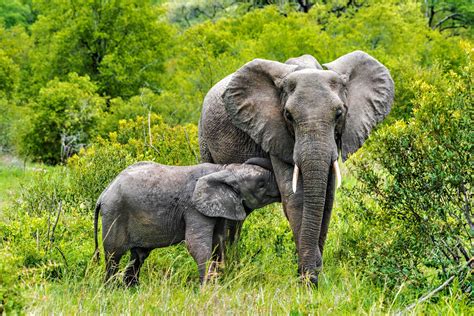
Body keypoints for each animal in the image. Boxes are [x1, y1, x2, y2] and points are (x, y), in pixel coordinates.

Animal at [93, 159, 280, 286]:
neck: (223, 170)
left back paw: (132, 288)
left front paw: (219, 282)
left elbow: (219, 241)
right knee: (113, 255)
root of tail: (103, 195)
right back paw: (111, 288)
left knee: (138, 256)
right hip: (114, 213)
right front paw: (207, 288)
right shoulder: (193, 208)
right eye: (261, 184)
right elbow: (196, 244)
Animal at [198, 51, 394, 284]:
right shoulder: (274, 132)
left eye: (339, 113)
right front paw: (308, 280)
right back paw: (221, 273)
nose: (313, 273)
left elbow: (326, 200)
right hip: (204, 138)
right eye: (288, 116)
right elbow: (296, 198)